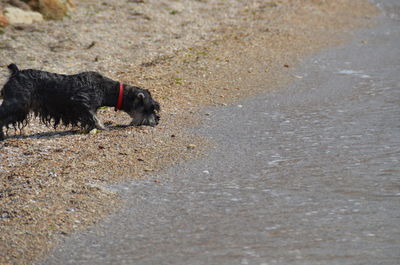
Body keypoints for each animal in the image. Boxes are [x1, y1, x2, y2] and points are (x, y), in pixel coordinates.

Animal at [0, 63, 159, 140]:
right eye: (150, 108)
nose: (157, 121)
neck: (108, 90)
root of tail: (16, 73)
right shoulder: (81, 102)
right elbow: (93, 118)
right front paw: (102, 127)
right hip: (16, 105)